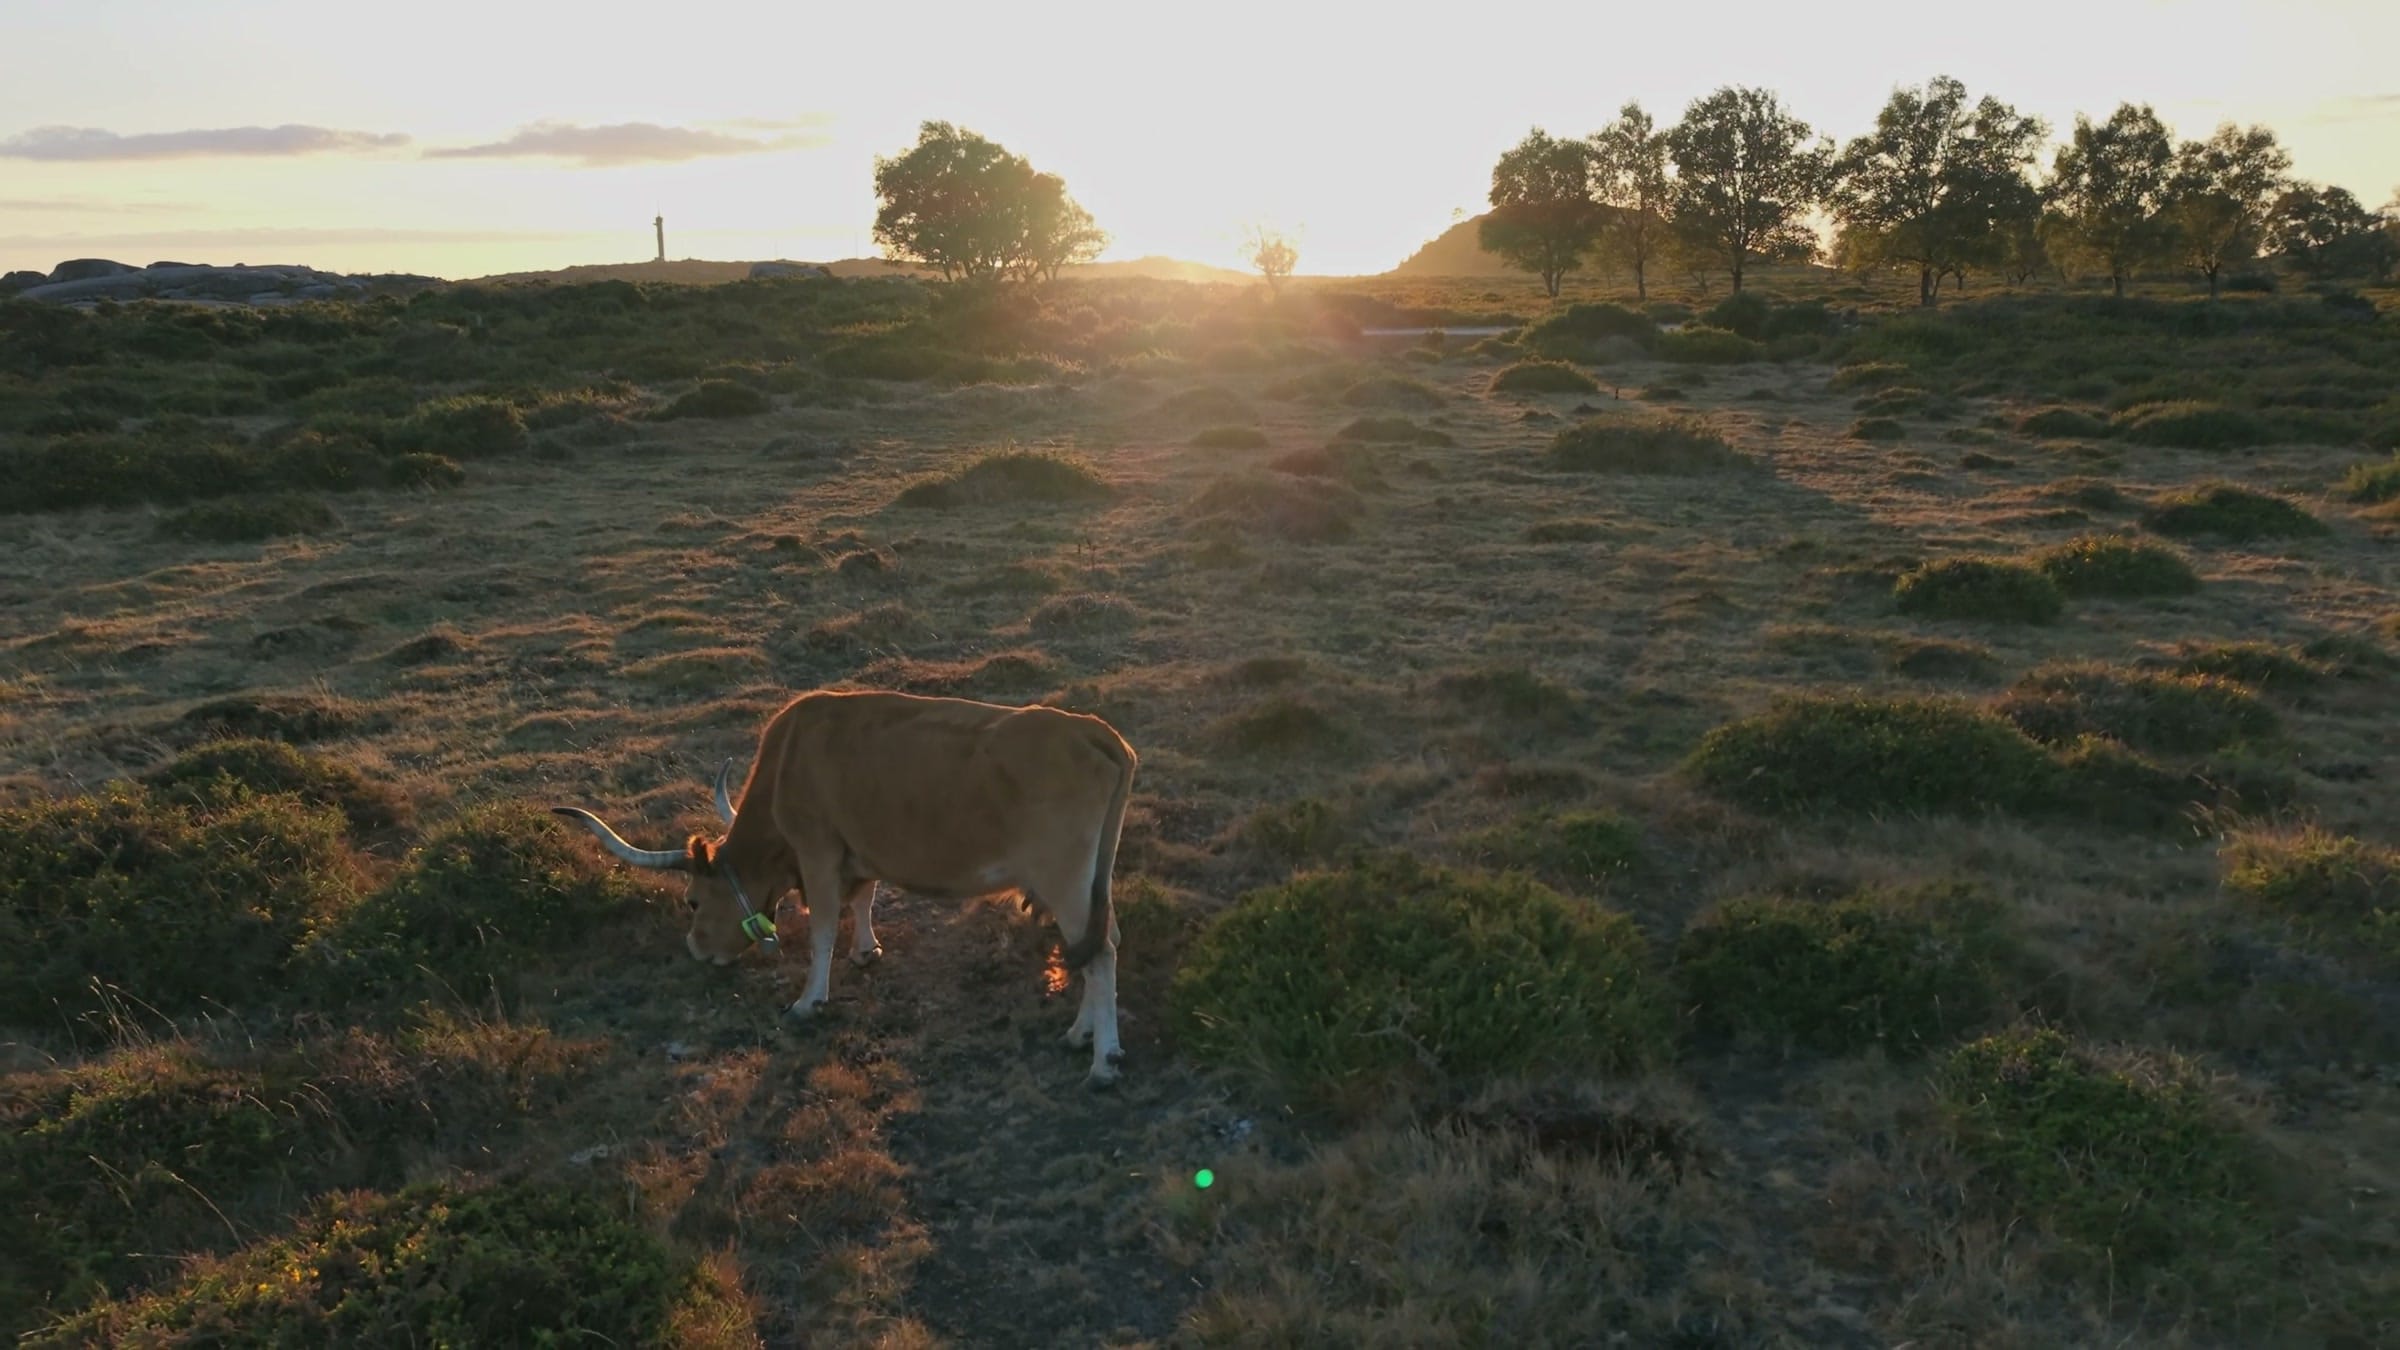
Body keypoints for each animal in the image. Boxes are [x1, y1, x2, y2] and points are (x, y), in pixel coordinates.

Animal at [551, 689, 1140, 1085]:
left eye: (692, 900)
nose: (696, 950)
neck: (789, 761)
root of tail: (1093, 731)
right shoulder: (857, 849)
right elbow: (864, 898)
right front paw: (866, 950)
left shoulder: (817, 850)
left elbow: (822, 930)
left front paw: (809, 1000)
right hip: (1088, 880)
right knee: (1099, 943)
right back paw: (1082, 1033)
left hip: (1063, 877)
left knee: (1099, 954)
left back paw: (1104, 1059)